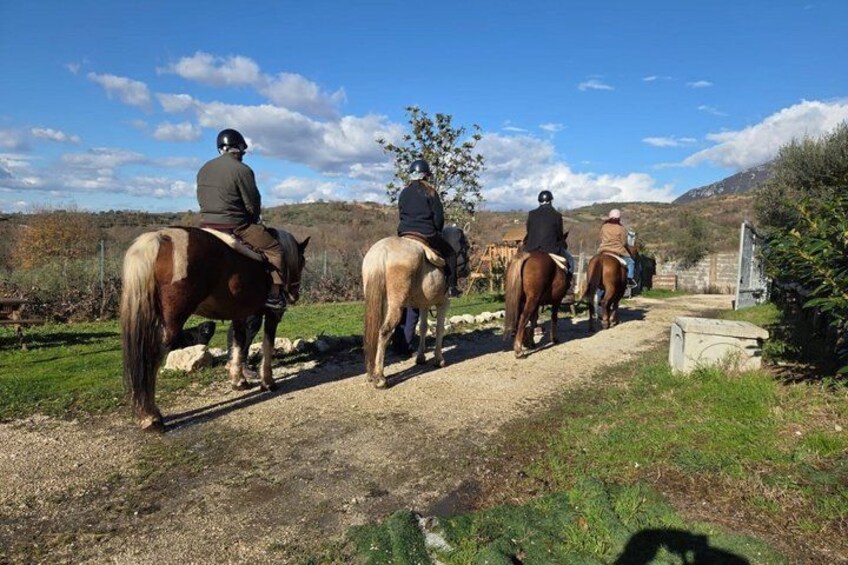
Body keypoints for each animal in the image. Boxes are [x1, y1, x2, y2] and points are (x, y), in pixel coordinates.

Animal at [120, 226, 309, 431]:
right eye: (302, 262)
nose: (294, 295)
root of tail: (161, 237)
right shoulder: (273, 315)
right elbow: (267, 345)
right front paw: (268, 382)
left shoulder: (239, 314)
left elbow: (238, 342)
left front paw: (238, 380)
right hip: (172, 322)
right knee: (151, 357)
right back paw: (151, 417)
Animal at [362, 235, 458, 388]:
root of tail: (382, 250)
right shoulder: (443, 303)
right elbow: (439, 329)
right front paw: (439, 359)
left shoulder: (424, 305)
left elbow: (423, 327)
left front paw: (421, 358)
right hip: (395, 306)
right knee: (385, 331)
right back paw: (380, 378)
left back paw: (371, 374)